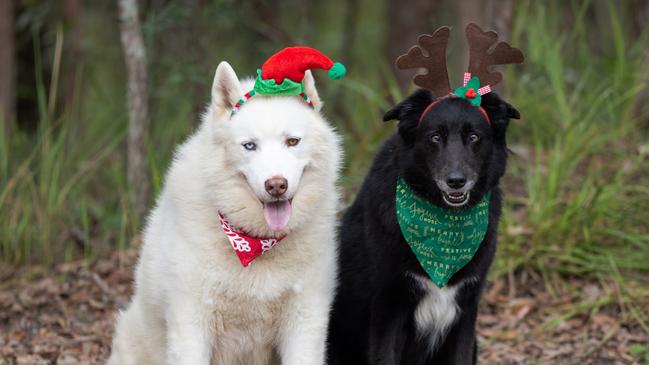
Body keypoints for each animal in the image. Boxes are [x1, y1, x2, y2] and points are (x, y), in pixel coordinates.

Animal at [110, 62, 344, 364]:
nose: (276, 185)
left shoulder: (305, 320)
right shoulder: (191, 324)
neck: (255, 243)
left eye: (292, 141)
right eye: (249, 145)